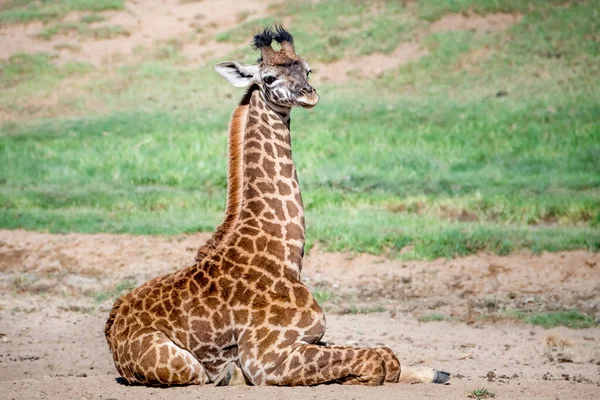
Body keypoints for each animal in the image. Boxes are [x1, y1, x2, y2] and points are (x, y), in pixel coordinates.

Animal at [104, 25, 450, 388]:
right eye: (269, 77)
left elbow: (385, 353)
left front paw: (435, 372)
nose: (309, 94)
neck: (284, 254)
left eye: (307, 70)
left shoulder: (309, 338)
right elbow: (379, 360)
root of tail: (112, 328)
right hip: (184, 366)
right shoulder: (266, 359)